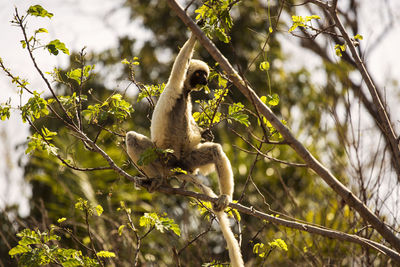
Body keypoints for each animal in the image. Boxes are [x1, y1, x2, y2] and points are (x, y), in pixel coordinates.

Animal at [126, 33, 244, 267]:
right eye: (200, 75)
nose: (206, 81)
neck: (184, 94)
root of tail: (175, 168)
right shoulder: (175, 86)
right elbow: (179, 65)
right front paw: (195, 34)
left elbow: (196, 134)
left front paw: (205, 133)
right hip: (163, 158)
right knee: (132, 138)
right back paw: (156, 179)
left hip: (186, 161)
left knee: (214, 151)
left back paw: (224, 197)